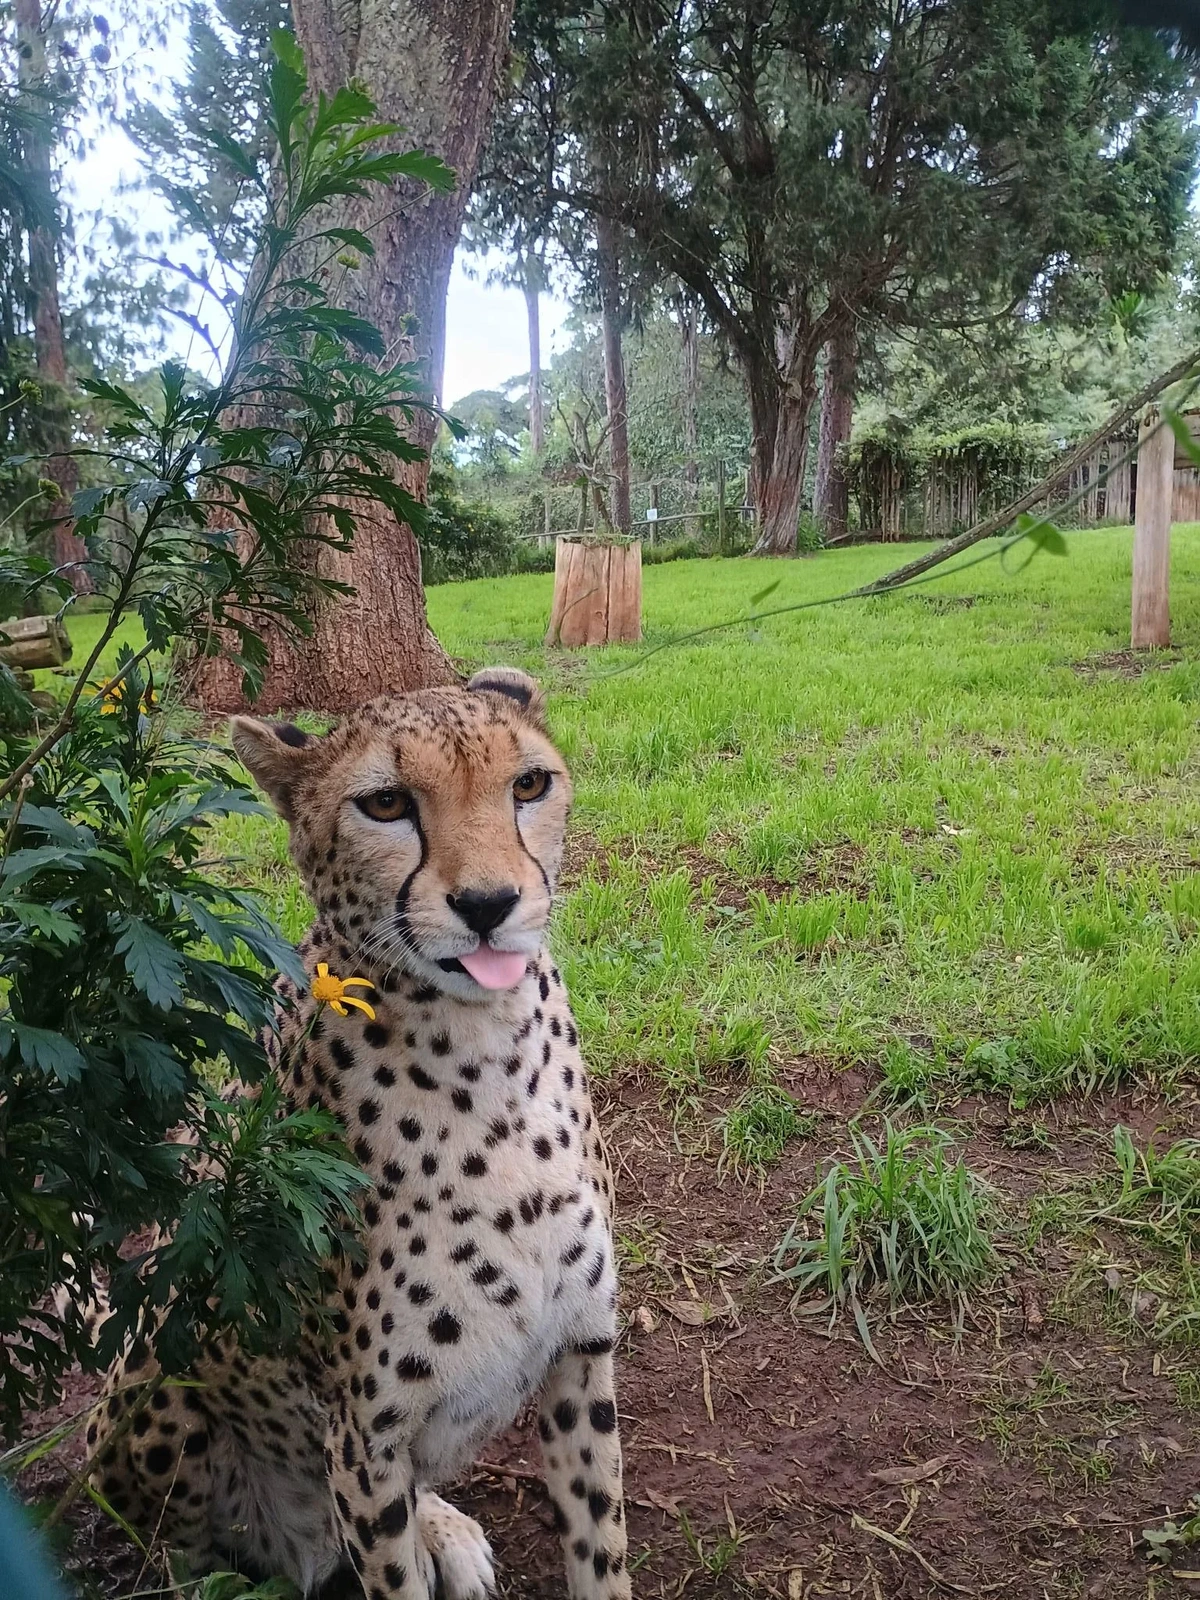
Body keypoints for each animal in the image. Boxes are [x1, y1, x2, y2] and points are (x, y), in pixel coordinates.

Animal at [82, 666, 631, 1600]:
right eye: (385, 804)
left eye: (528, 785)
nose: (489, 903)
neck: (491, 1053)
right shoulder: (362, 1437)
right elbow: (392, 1572)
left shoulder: (581, 1356)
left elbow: (602, 1553)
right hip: (158, 1377)